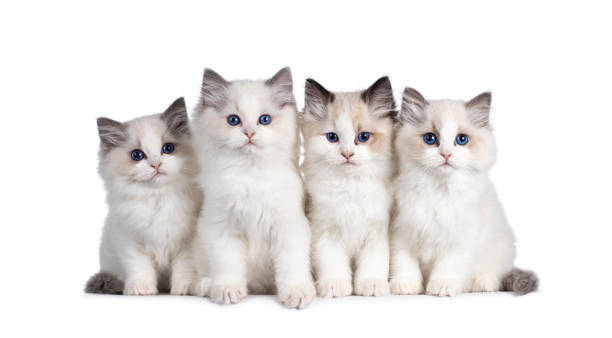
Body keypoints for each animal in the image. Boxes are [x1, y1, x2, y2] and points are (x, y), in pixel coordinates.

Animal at [85, 97, 201, 296]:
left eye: (168, 148)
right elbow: (139, 267)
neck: (157, 197)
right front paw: (141, 289)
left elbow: (184, 268)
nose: (156, 164)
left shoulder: (187, 242)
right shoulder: (130, 240)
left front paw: (184, 289)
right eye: (137, 155)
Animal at [191, 66, 316, 308]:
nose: (249, 133)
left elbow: (291, 267)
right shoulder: (222, 227)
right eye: (233, 120)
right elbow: (228, 265)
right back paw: (207, 285)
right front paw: (228, 291)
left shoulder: (289, 227)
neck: (251, 176)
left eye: (264, 120)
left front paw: (296, 293)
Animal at [302, 76, 396, 296]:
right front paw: (334, 286)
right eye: (332, 137)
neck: (351, 187)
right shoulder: (325, 232)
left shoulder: (378, 233)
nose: (347, 154)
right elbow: (332, 264)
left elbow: (374, 264)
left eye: (363, 137)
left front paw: (372, 285)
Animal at [390, 88, 536, 296]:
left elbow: (447, 267)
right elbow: (404, 264)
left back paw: (483, 284)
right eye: (430, 139)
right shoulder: (402, 233)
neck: (438, 192)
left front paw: (441, 287)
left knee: (495, 273)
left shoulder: (460, 238)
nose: (446, 154)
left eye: (461, 139)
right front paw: (405, 286)